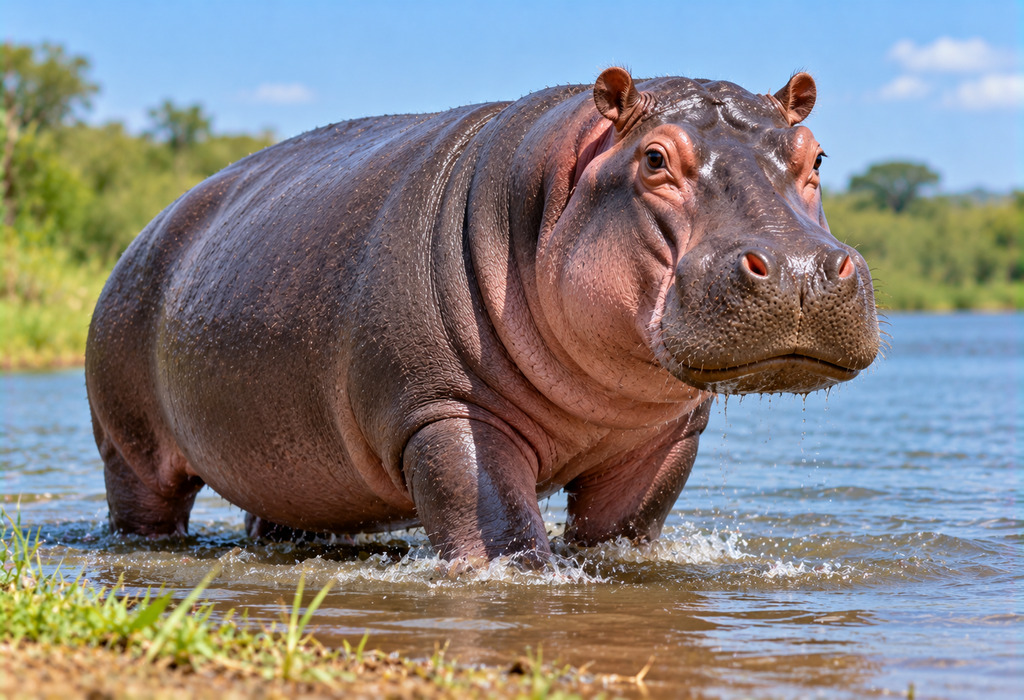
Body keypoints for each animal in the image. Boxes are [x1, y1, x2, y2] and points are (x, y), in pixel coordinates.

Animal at [85, 67, 878, 565]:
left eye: (816, 156)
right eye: (655, 159)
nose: (800, 267)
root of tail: (148, 229)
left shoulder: (664, 439)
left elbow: (622, 529)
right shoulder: (444, 413)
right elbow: (499, 529)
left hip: (294, 466)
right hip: (128, 445)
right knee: (146, 505)